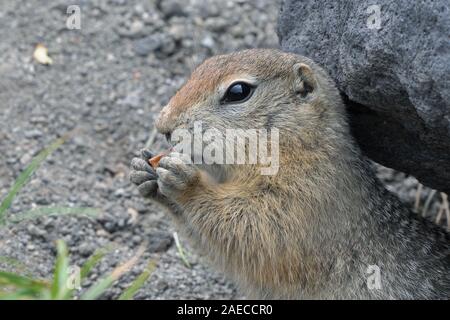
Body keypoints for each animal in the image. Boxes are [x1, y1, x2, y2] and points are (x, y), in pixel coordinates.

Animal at [131, 48, 450, 298]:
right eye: (200, 67)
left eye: (238, 92)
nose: (163, 125)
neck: (298, 146)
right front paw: (145, 171)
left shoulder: (309, 193)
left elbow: (253, 230)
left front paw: (187, 182)